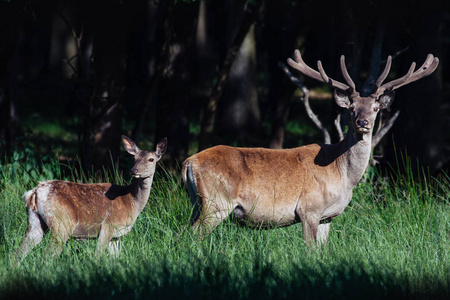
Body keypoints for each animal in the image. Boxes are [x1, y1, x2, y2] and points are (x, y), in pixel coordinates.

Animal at [15, 137, 168, 260]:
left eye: (151, 159)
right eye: (133, 158)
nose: (133, 171)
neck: (131, 202)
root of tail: (35, 192)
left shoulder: (117, 236)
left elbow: (115, 259)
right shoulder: (108, 225)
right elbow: (98, 255)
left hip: (34, 222)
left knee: (18, 253)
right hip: (62, 223)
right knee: (47, 256)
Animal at [181, 50, 438, 245]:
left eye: (375, 108)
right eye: (351, 108)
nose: (362, 123)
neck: (343, 175)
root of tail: (188, 162)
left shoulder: (327, 217)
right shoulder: (308, 209)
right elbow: (309, 250)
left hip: (198, 203)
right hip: (217, 203)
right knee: (191, 235)